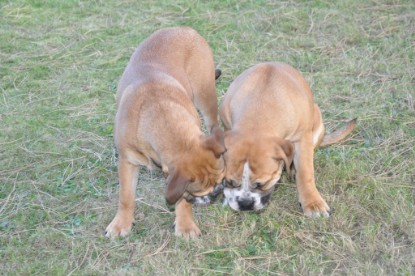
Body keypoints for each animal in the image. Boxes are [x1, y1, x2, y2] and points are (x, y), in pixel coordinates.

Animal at [105, 28, 226, 239]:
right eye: (200, 191)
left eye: (220, 181)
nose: (217, 193)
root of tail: (186, 29)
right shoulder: (127, 162)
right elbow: (126, 196)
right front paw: (121, 223)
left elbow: (183, 202)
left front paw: (185, 225)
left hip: (205, 95)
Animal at [219, 62, 356, 216]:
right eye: (229, 182)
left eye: (262, 184)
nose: (245, 203)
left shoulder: (303, 139)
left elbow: (305, 172)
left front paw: (312, 202)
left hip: (317, 120)